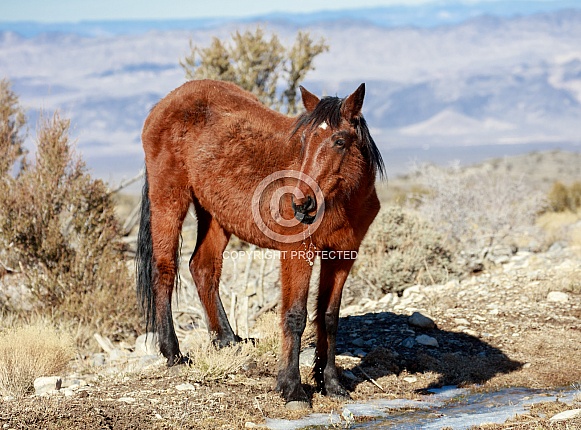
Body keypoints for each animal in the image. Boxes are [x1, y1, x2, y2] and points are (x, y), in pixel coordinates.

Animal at [134, 80, 382, 406]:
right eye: (303, 141)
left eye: (339, 141)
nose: (301, 204)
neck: (342, 201)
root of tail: (166, 102)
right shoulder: (297, 252)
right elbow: (295, 316)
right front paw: (292, 389)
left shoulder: (342, 255)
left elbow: (329, 317)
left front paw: (331, 384)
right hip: (169, 198)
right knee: (164, 269)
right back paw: (173, 354)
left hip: (215, 215)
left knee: (202, 267)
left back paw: (228, 340)